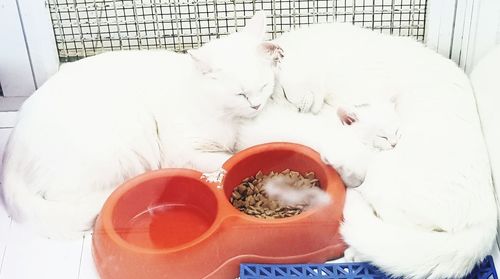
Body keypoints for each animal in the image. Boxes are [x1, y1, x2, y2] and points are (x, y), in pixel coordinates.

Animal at [0, 12, 284, 240]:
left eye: (263, 86)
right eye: (240, 94)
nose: (256, 105)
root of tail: (11, 154)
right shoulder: (185, 152)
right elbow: (228, 159)